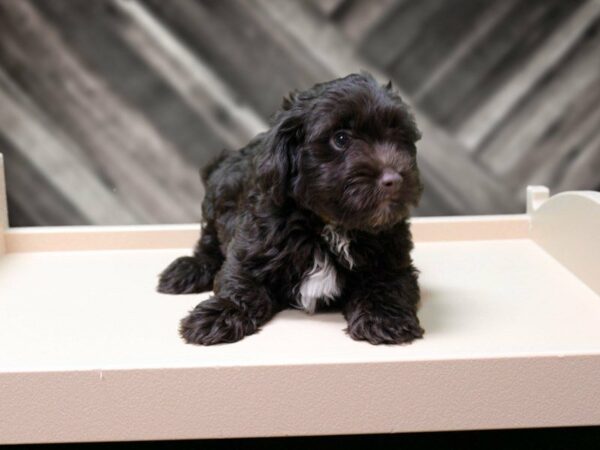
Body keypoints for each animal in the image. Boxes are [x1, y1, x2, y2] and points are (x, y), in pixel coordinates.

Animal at [157, 73, 424, 344]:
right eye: (341, 139)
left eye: (400, 137)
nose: (393, 179)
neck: (330, 225)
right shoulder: (253, 245)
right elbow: (239, 280)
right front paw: (218, 314)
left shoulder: (393, 260)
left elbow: (387, 285)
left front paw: (385, 319)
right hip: (218, 199)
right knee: (209, 243)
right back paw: (187, 270)